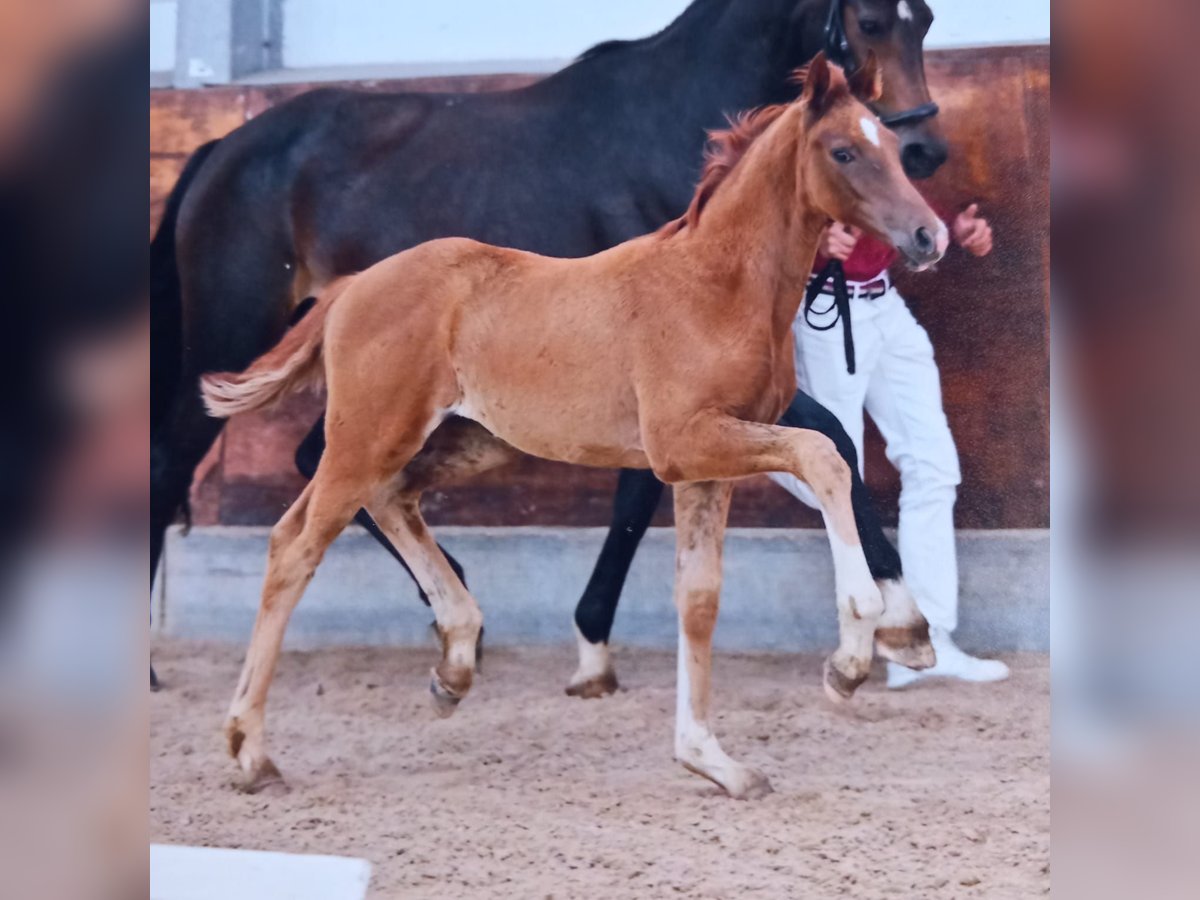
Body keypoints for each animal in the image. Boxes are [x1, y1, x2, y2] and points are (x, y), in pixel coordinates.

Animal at [201, 56, 940, 801]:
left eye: (891, 145)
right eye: (843, 151)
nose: (929, 236)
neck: (718, 285)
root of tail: (350, 287)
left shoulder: (705, 465)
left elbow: (699, 598)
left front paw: (712, 760)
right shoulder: (686, 444)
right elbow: (825, 456)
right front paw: (853, 652)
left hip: (465, 441)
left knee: (388, 501)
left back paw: (454, 664)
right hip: (369, 436)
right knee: (295, 546)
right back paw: (250, 752)